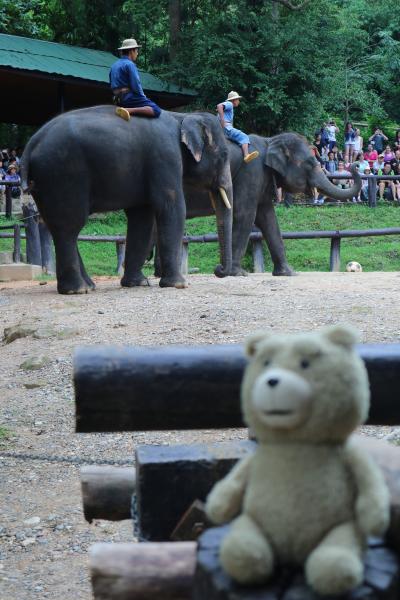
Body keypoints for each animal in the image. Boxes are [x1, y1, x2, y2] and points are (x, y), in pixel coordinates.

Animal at [20, 109, 233, 296]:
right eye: (224, 155)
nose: (219, 270)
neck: (181, 116)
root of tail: (30, 145)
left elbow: (142, 217)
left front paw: (138, 283)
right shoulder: (165, 158)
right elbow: (172, 207)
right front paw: (178, 285)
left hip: (45, 184)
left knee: (58, 226)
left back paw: (89, 286)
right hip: (63, 175)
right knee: (69, 227)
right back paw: (77, 290)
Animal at [184, 131, 362, 276]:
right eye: (310, 163)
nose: (355, 164)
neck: (270, 141)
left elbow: (268, 218)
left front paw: (289, 273)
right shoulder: (251, 172)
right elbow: (245, 214)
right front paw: (237, 273)